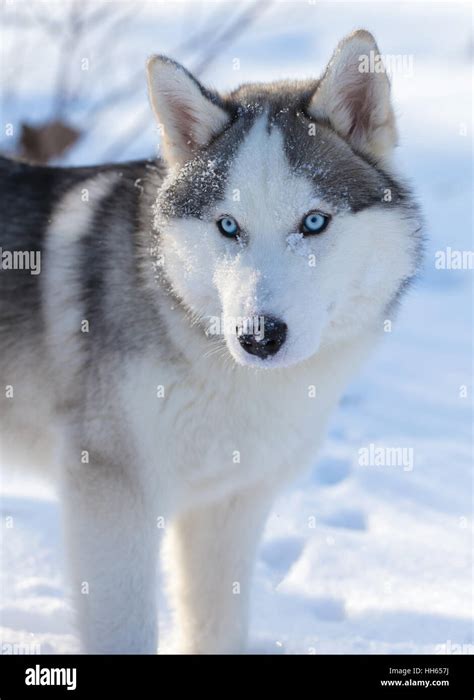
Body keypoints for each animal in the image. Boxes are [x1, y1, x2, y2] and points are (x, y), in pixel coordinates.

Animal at [0, 31, 422, 656]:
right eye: (228, 226)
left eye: (313, 222)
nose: (259, 336)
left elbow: (217, 625)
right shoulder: (112, 496)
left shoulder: (228, 506)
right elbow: (126, 631)